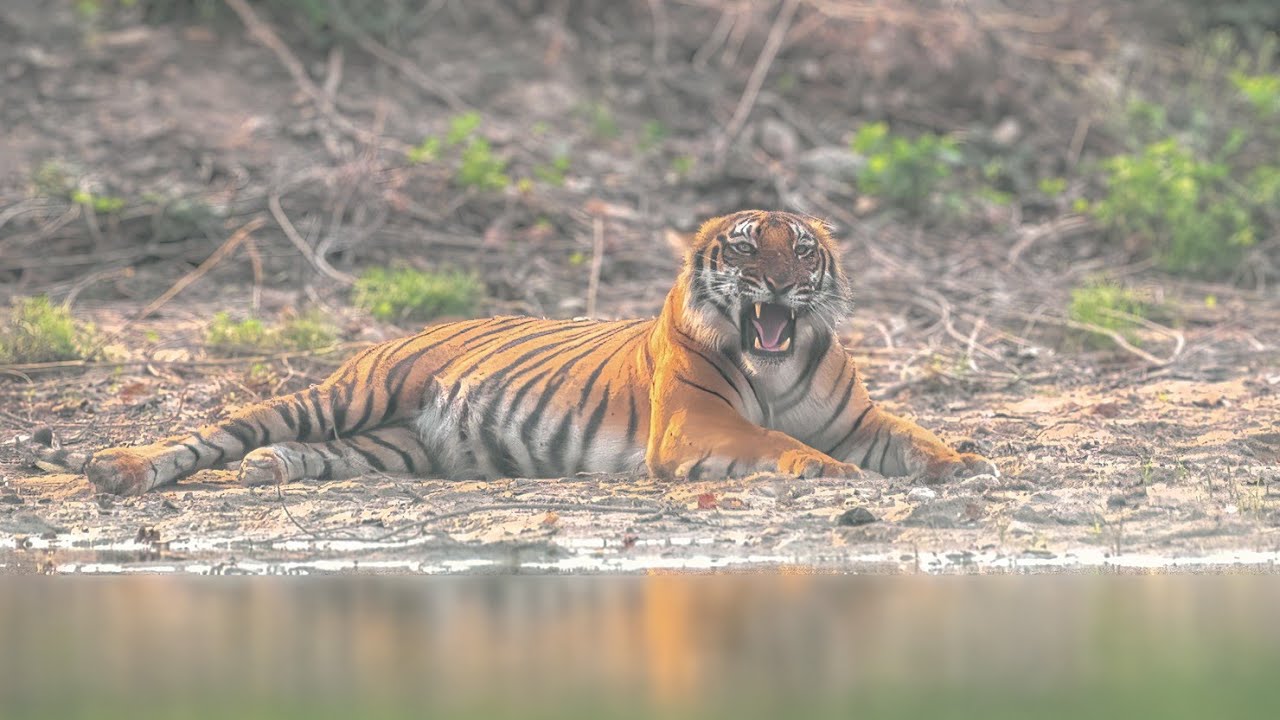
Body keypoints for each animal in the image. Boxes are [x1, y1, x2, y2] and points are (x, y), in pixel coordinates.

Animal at [21, 209, 996, 495]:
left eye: (802, 253)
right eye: (745, 250)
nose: (781, 289)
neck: (778, 358)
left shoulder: (860, 417)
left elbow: (916, 438)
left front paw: (966, 464)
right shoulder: (692, 427)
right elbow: (780, 443)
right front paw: (831, 475)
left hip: (395, 444)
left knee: (309, 453)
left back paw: (273, 470)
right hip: (338, 394)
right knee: (221, 430)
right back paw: (120, 468)